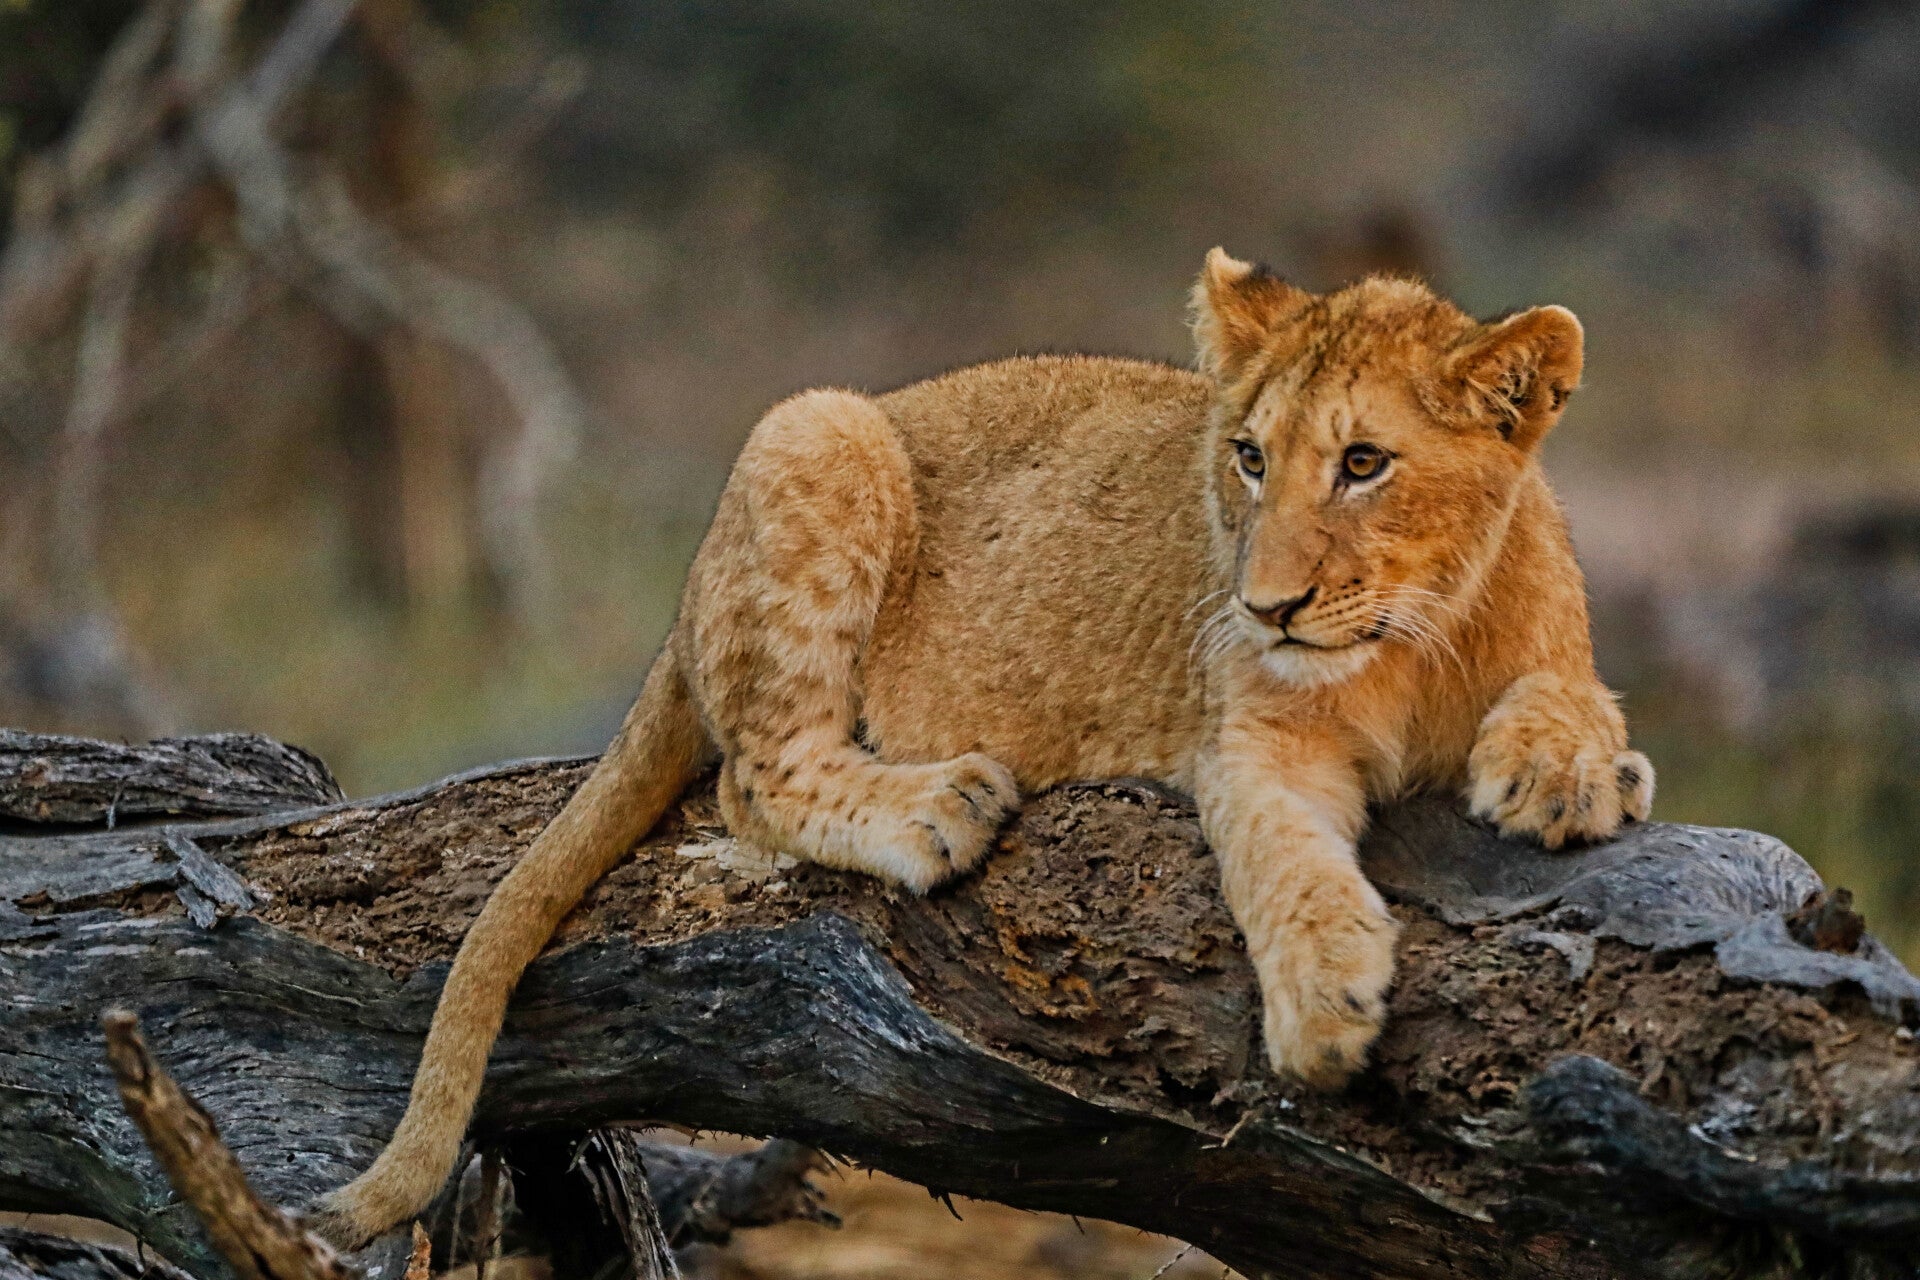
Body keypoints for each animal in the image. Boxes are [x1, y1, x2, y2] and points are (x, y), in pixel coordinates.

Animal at [312, 249, 1654, 1248]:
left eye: (1365, 462)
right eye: (1250, 457)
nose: (1265, 604)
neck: (1417, 639)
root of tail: (681, 611)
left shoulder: (1543, 639)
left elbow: (1578, 685)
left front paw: (1567, 769)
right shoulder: (1251, 737)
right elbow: (1282, 856)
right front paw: (1327, 1000)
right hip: (821, 429)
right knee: (754, 777)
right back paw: (935, 806)